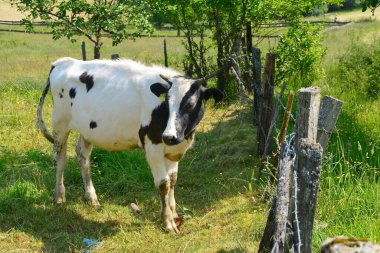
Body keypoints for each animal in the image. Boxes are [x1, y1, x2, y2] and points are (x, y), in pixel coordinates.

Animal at [36, 57, 224, 233]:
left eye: (190, 104)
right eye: (167, 103)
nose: (169, 136)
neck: (184, 136)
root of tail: (63, 62)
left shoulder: (174, 150)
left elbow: (172, 180)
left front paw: (174, 214)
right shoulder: (153, 146)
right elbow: (163, 184)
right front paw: (168, 223)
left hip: (87, 129)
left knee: (83, 158)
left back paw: (91, 198)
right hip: (60, 124)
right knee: (60, 160)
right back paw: (59, 197)